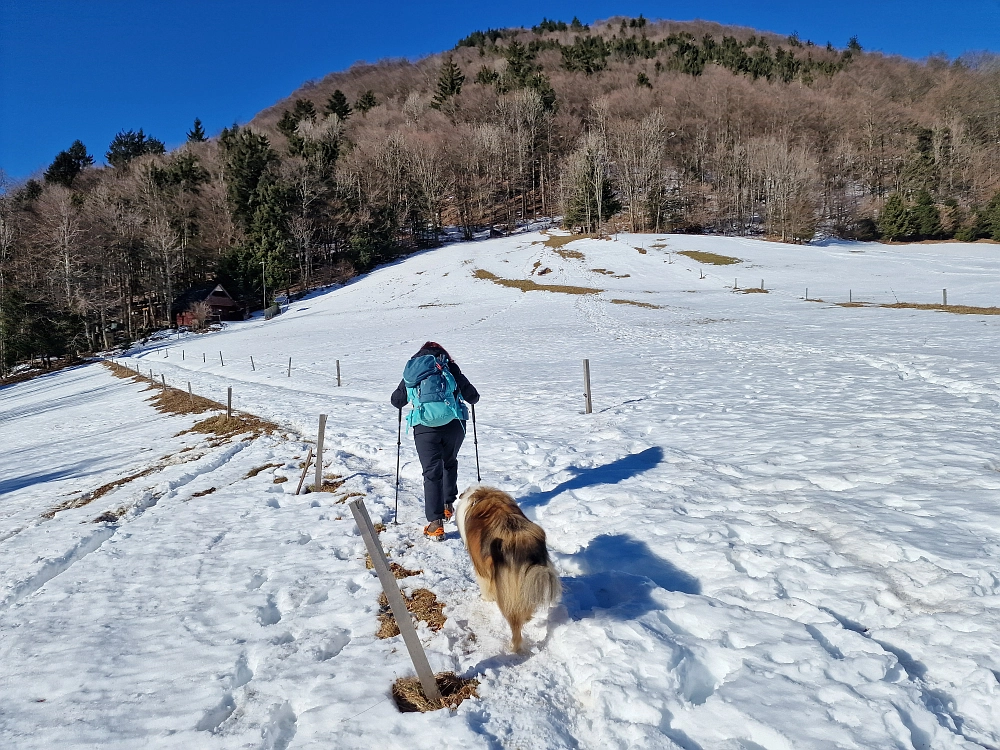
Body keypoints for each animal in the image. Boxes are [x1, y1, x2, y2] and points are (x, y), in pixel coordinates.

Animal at [456, 488, 560, 652]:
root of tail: (523, 543)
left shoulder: (481, 569)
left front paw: (485, 598)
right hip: (529, 583)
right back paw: (527, 618)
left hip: (507, 592)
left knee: (515, 624)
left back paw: (513, 647)